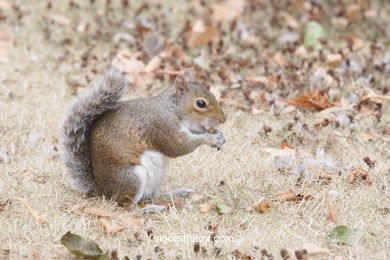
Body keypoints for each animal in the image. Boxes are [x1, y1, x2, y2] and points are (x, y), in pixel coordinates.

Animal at [62, 68, 227, 213]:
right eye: (201, 103)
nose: (223, 119)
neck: (171, 108)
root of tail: (103, 192)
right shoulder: (160, 125)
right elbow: (178, 146)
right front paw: (211, 139)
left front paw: (219, 135)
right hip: (132, 178)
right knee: (125, 207)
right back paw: (148, 209)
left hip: (157, 177)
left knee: (151, 196)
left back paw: (176, 193)